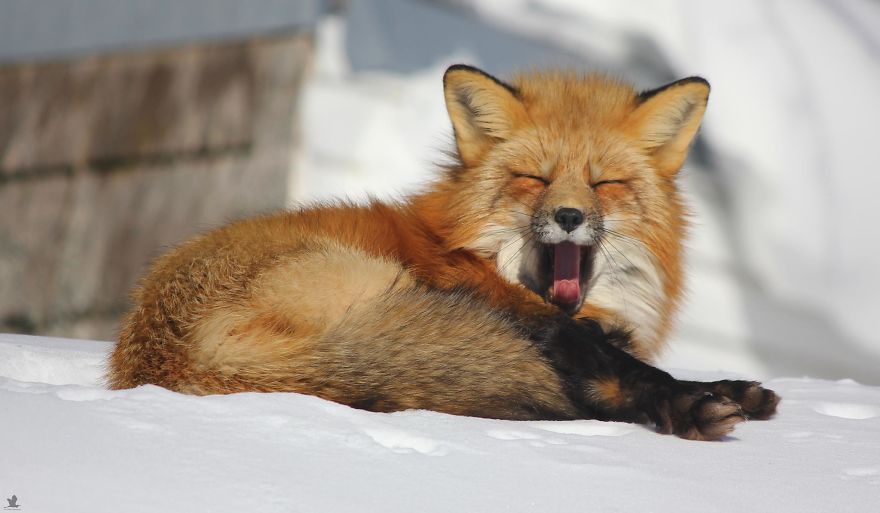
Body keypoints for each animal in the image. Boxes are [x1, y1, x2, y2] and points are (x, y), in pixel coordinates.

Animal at [108, 65, 779, 440]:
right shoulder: (530, 317)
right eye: (534, 179)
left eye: (604, 183)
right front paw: (692, 400)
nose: (569, 216)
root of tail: (164, 356)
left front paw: (731, 389)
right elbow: (620, 366)